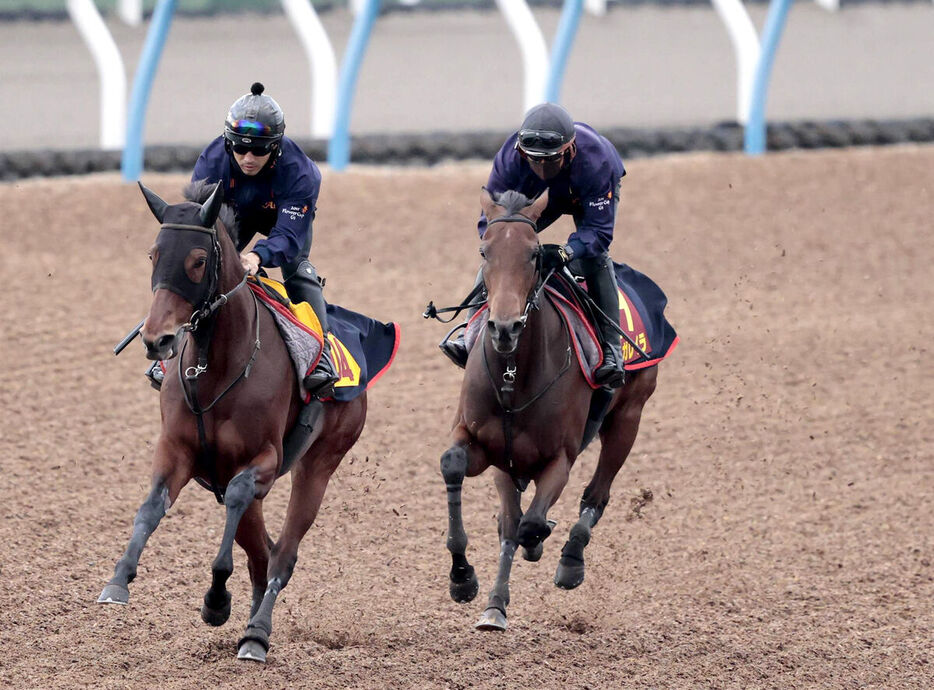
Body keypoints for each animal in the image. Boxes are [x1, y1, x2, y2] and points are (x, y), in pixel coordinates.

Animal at [97, 180, 368, 660]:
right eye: (153, 254)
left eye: (198, 260)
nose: (156, 339)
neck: (215, 368)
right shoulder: (179, 450)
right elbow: (150, 508)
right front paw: (118, 579)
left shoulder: (261, 461)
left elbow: (238, 518)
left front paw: (216, 599)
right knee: (262, 552)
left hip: (319, 464)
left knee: (282, 555)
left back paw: (256, 633)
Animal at [442, 188, 660, 628]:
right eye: (484, 251)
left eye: (532, 255)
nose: (503, 328)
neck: (514, 373)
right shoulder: (483, 445)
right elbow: (457, 469)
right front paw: (463, 578)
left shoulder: (559, 458)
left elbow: (531, 523)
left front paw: (540, 542)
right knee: (512, 519)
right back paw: (495, 603)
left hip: (628, 418)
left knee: (596, 494)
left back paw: (571, 558)